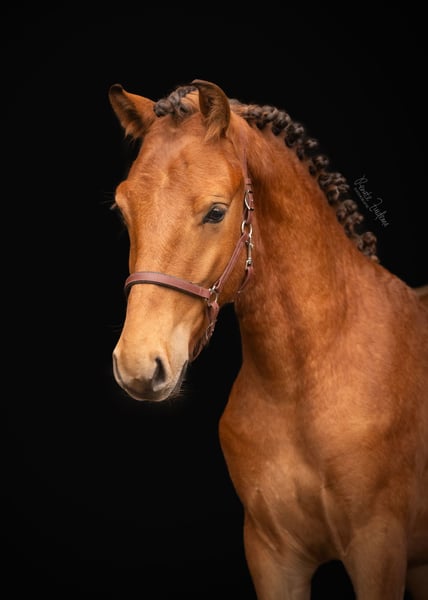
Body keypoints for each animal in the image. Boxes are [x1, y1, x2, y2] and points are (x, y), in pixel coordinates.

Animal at [107, 79, 428, 599]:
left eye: (216, 211)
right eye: (123, 210)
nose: (138, 365)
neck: (301, 385)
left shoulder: (378, 550)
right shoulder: (273, 556)